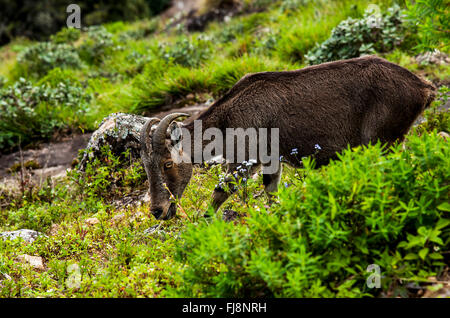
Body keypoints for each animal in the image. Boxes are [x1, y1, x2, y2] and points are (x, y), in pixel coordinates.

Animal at [141, 55, 436, 219]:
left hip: (383, 140)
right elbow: (271, 193)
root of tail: (422, 87)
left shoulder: (245, 160)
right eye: (146, 167)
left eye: (168, 163)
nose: (158, 211)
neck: (227, 120)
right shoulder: (272, 161)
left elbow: (220, 192)